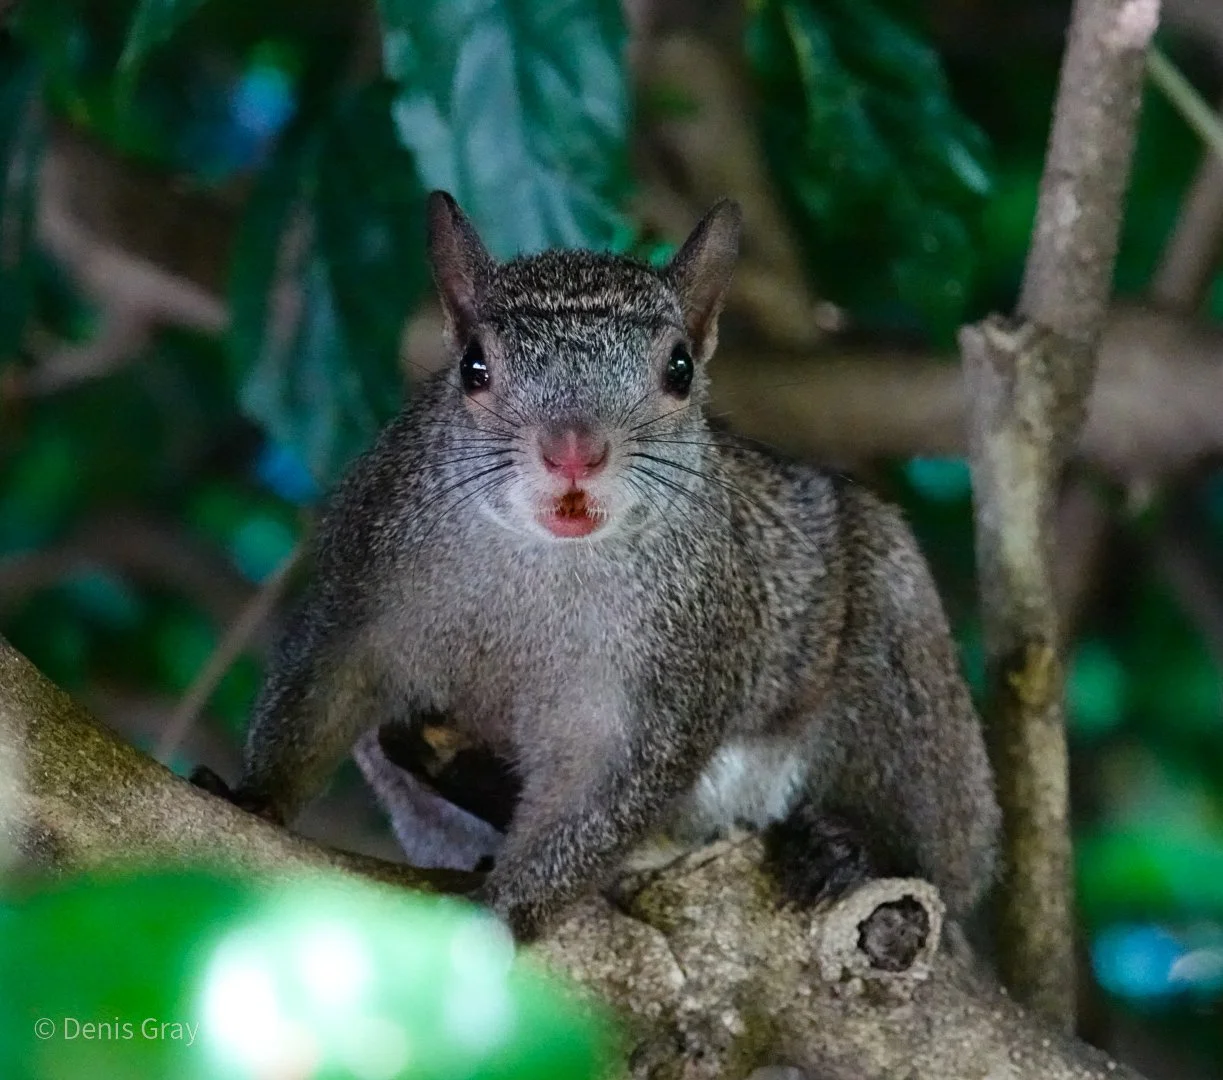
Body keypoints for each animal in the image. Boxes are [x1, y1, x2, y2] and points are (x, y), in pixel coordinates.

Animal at [212, 191, 1000, 942]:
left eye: (680, 368)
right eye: (473, 365)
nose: (573, 450)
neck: (543, 563)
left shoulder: (666, 676)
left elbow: (600, 796)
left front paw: (507, 912)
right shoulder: (360, 587)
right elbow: (319, 691)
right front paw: (256, 795)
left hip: (905, 677)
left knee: (943, 860)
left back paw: (845, 849)